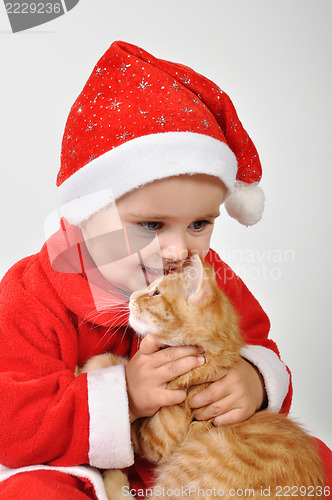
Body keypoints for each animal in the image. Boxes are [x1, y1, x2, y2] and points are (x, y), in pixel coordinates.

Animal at [81, 256, 326, 498]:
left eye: (156, 293)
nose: (132, 297)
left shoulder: (158, 438)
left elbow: (125, 400)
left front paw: (86, 368)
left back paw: (111, 478)